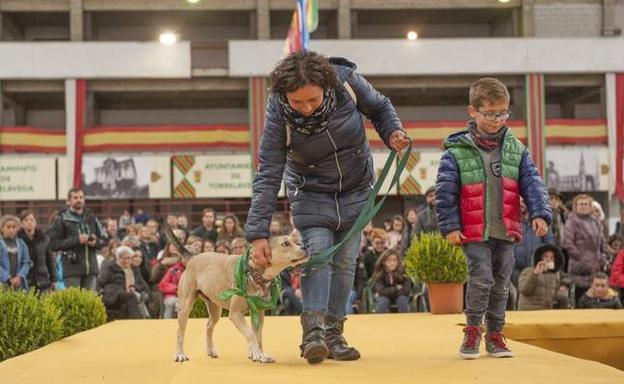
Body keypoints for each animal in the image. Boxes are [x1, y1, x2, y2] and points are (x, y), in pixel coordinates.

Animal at [166, 228, 310, 364]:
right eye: (285, 244)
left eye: (294, 241)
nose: (305, 247)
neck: (255, 274)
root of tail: (193, 258)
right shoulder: (235, 314)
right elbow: (251, 334)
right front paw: (256, 353)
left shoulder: (258, 312)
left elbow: (258, 335)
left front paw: (261, 355)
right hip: (185, 306)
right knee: (180, 332)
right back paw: (180, 355)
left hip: (215, 309)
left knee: (208, 326)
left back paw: (211, 350)